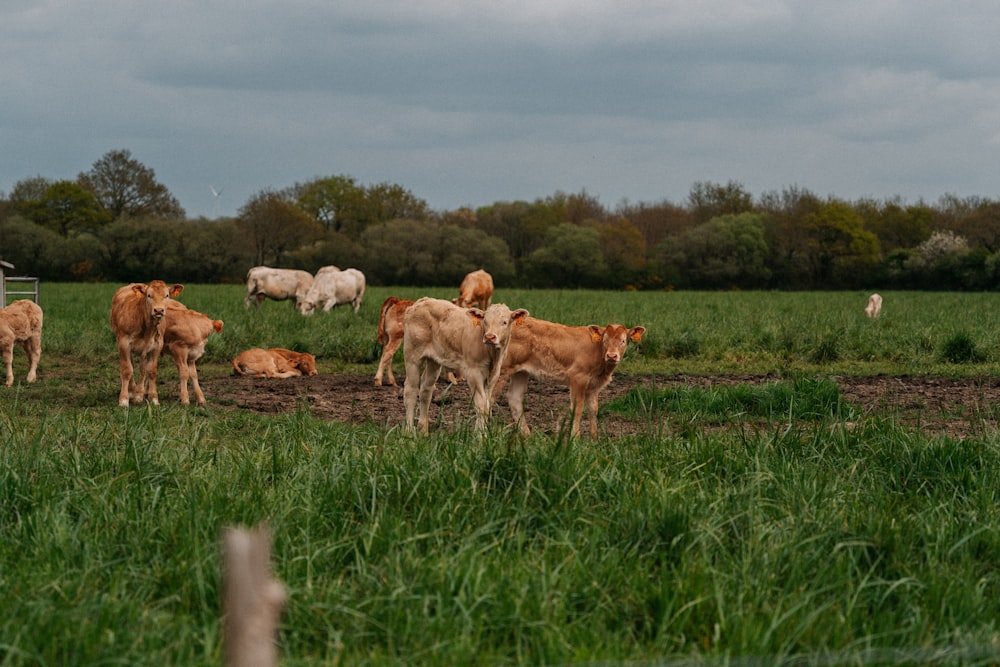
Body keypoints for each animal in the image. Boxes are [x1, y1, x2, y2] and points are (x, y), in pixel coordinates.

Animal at [110, 280, 185, 408]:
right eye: (149, 295)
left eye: (167, 295)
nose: (158, 310)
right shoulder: (124, 343)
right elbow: (127, 370)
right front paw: (124, 399)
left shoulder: (156, 346)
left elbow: (151, 371)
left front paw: (153, 398)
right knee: (132, 366)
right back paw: (132, 391)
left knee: (142, 369)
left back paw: (139, 394)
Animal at [498, 318, 648, 438]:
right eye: (605, 340)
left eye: (623, 341)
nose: (611, 356)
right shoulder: (578, 378)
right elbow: (578, 409)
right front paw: (575, 438)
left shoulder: (594, 386)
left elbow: (593, 410)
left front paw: (594, 439)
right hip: (501, 370)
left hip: (520, 372)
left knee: (514, 398)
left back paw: (527, 436)